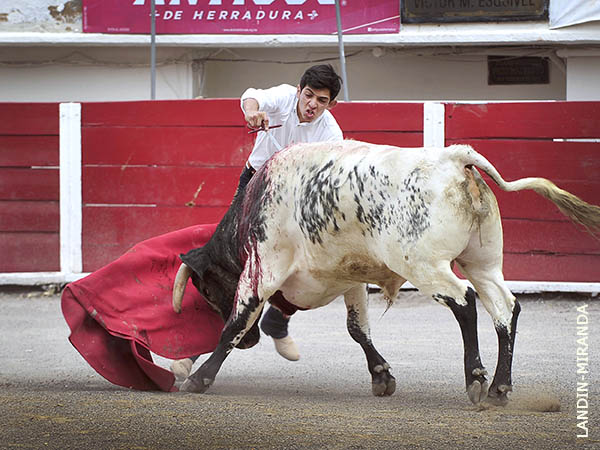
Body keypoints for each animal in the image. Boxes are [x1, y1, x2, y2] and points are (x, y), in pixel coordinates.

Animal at [171, 141, 596, 404]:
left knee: (464, 301)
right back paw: (499, 387)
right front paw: (381, 376)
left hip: (425, 264)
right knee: (505, 309)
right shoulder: (349, 278)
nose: (251, 345)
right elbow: (357, 328)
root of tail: (454, 158)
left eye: (206, 290)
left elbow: (235, 322)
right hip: (483, 262)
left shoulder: (263, 268)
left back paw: (476, 378)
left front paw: (199, 378)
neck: (250, 210)